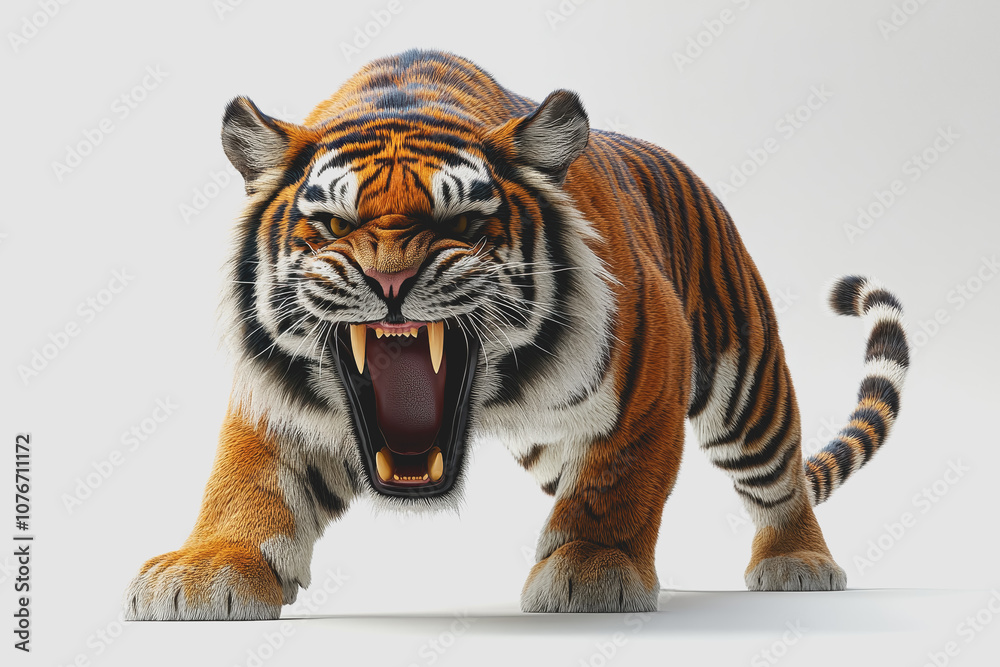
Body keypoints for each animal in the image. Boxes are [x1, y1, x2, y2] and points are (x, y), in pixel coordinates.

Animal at [123, 49, 909, 619]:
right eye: (335, 225)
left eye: (466, 224)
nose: (389, 281)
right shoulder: (276, 395)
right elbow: (248, 476)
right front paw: (205, 568)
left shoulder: (651, 366)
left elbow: (619, 475)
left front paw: (593, 566)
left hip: (747, 384)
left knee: (779, 479)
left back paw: (797, 562)